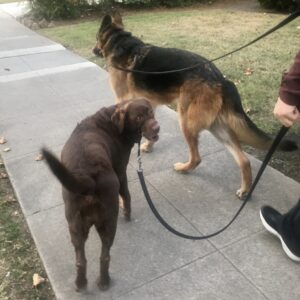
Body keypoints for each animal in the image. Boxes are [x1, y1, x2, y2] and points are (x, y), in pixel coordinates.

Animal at [42, 99, 159, 292]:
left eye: (151, 112)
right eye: (139, 117)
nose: (157, 127)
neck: (113, 123)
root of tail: (88, 178)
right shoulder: (121, 170)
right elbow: (126, 195)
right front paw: (127, 213)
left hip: (75, 225)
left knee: (80, 260)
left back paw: (81, 284)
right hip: (108, 221)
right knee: (105, 256)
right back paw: (104, 281)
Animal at [94, 14, 298, 198]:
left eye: (96, 39)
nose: (94, 50)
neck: (120, 42)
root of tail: (221, 80)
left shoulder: (123, 99)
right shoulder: (150, 103)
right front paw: (149, 145)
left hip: (186, 120)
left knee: (197, 157)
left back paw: (184, 168)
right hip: (217, 127)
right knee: (244, 160)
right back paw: (245, 190)